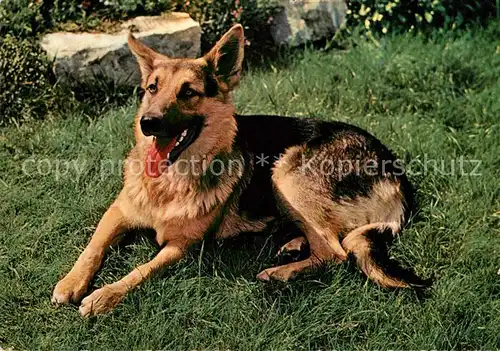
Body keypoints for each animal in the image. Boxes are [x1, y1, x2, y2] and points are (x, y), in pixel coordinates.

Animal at [52, 24, 424, 316]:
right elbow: (93, 246)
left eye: (188, 92)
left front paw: (104, 295)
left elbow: (141, 270)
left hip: (284, 173)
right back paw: (292, 245)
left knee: (336, 252)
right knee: (328, 240)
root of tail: (396, 171)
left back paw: (281, 272)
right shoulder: (118, 212)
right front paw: (71, 282)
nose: (149, 123)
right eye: (152, 88)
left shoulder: (179, 246)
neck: (169, 183)